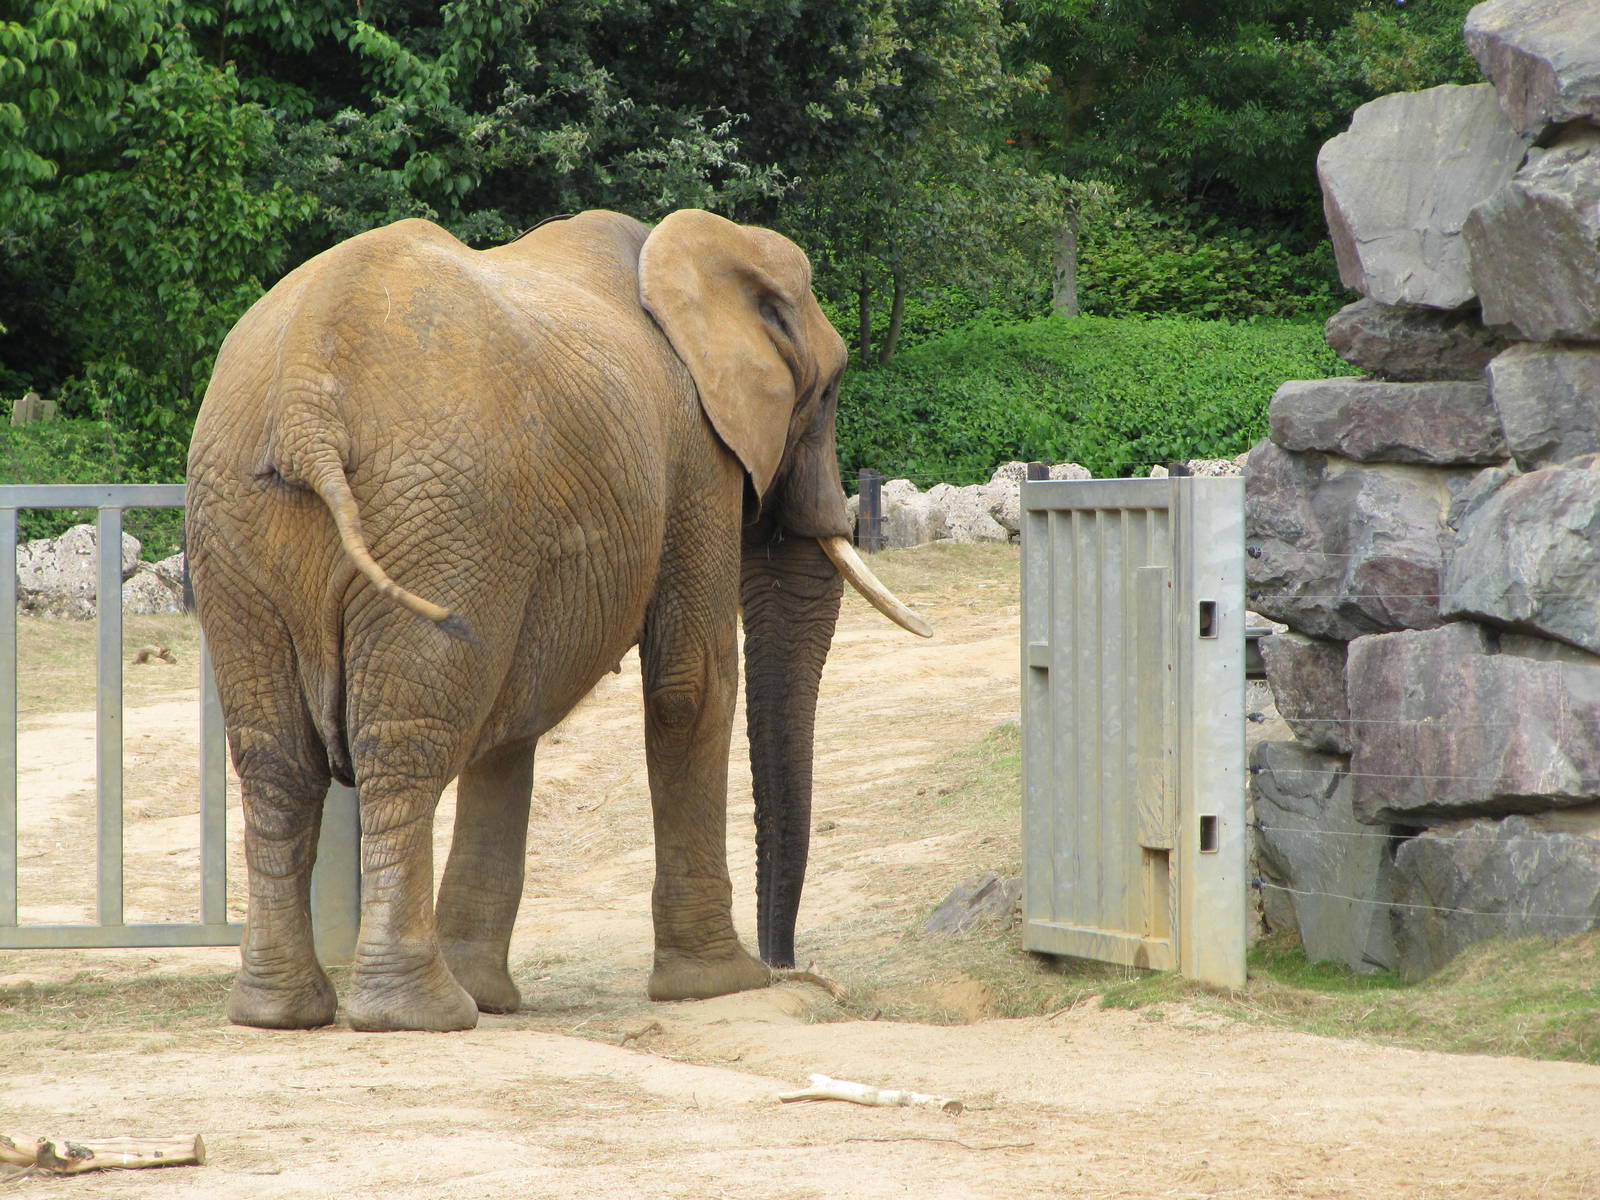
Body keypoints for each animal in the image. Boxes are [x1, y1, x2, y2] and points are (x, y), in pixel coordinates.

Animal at [186, 209, 929, 1032]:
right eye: (827, 393)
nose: (788, 966)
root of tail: (305, 397)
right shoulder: (695, 453)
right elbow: (691, 685)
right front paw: (720, 984)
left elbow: (511, 722)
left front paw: (493, 994)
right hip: (436, 517)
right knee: (404, 743)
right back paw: (420, 1013)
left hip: (239, 518)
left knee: (277, 755)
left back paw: (281, 1011)